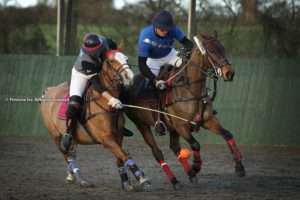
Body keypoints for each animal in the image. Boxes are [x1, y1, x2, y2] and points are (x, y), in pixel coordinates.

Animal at [39, 49, 151, 191]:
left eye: (126, 58)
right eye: (111, 61)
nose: (129, 77)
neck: (105, 104)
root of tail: (48, 91)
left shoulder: (118, 136)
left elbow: (120, 157)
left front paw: (126, 183)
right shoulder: (106, 138)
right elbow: (125, 155)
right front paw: (142, 178)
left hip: (73, 139)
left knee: (71, 154)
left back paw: (71, 176)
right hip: (56, 136)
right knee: (67, 156)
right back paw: (81, 180)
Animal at [123, 32, 245, 189]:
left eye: (223, 49)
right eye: (212, 51)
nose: (229, 73)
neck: (190, 89)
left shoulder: (208, 120)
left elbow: (227, 134)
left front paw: (239, 167)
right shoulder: (181, 125)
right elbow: (195, 144)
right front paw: (196, 166)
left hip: (171, 127)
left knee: (175, 147)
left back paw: (190, 174)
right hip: (141, 124)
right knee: (157, 152)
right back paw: (176, 180)